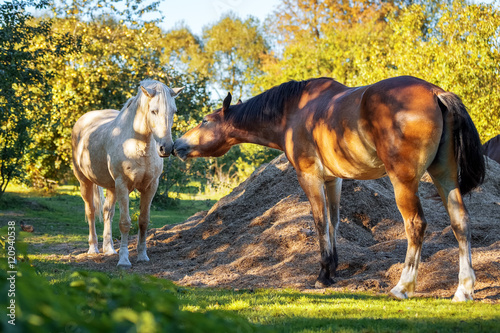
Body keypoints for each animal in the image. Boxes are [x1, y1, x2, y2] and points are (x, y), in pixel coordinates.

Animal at [72, 80, 184, 268]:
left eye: (174, 111)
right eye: (153, 111)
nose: (167, 148)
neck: (137, 142)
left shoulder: (150, 186)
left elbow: (143, 221)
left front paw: (142, 256)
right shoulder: (123, 184)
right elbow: (125, 223)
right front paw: (124, 260)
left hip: (111, 187)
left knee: (107, 212)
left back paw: (109, 249)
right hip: (85, 182)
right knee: (91, 212)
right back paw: (93, 249)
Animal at [173, 76, 484, 300]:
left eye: (204, 121)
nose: (176, 145)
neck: (294, 111)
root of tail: (434, 92)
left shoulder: (309, 176)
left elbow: (320, 222)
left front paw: (322, 274)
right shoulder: (334, 180)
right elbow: (334, 222)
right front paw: (332, 268)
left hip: (404, 182)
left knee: (416, 225)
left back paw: (403, 287)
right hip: (445, 175)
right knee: (460, 222)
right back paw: (463, 289)